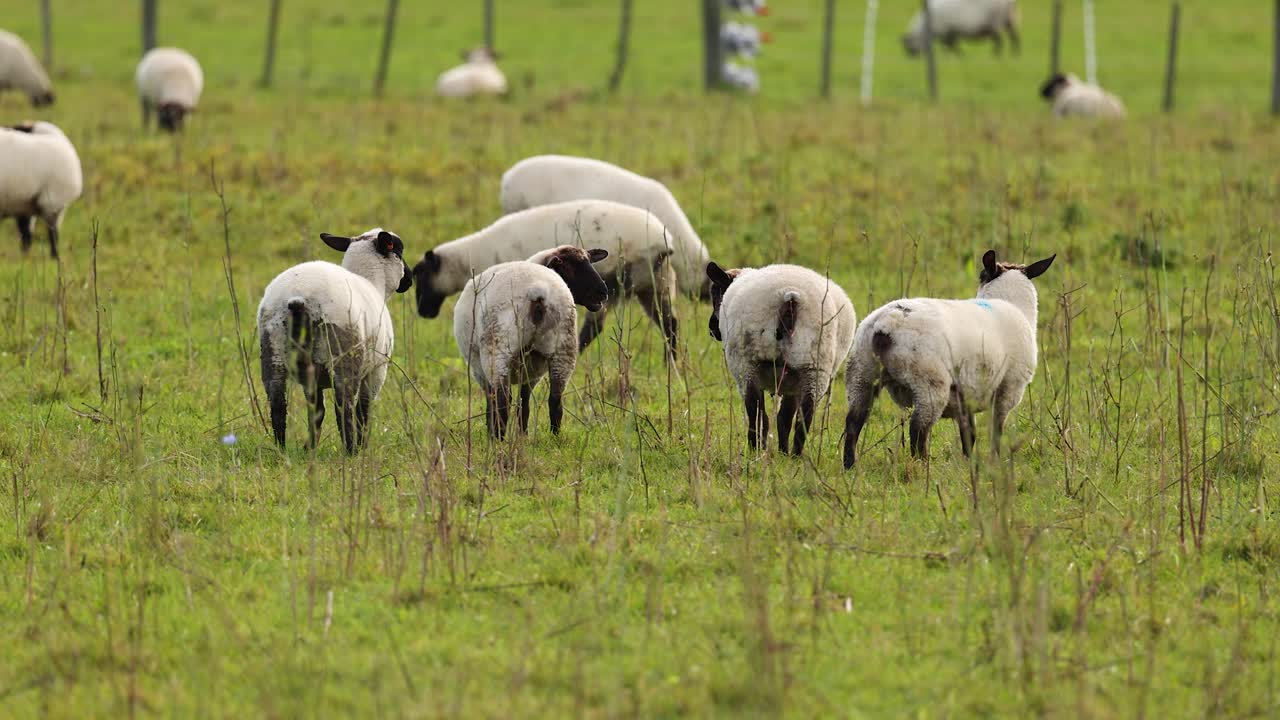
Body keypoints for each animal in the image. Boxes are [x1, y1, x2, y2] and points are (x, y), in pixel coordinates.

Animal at [257, 229, 413, 454]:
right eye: (399, 251)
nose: (410, 279)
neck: (373, 283)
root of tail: (298, 299)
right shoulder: (376, 371)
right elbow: (363, 410)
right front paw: (362, 447)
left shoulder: (313, 380)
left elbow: (317, 411)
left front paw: (309, 448)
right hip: (344, 357)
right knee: (344, 408)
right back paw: (351, 451)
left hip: (273, 353)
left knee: (278, 406)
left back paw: (282, 450)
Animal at [413, 200, 683, 357]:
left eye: (421, 274)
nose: (423, 313)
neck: (474, 255)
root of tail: (663, 243)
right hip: (651, 284)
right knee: (669, 324)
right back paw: (671, 366)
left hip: (624, 283)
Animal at [454, 245, 610, 438]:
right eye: (567, 267)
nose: (603, 292)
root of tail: (538, 290)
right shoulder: (532, 370)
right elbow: (524, 403)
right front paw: (523, 435)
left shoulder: (478, 367)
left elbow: (493, 402)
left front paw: (495, 433)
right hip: (564, 349)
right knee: (555, 401)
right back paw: (554, 439)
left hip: (497, 349)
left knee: (502, 401)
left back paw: (498, 439)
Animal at [706, 262, 857, 456]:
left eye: (716, 293)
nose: (711, 328)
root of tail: (790, 297)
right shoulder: (791, 384)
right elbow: (784, 419)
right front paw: (783, 452)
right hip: (815, 365)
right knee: (803, 417)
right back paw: (794, 456)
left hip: (746, 361)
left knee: (757, 415)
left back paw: (755, 451)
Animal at [841, 250, 1055, 469]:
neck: (1013, 304)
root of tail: (886, 325)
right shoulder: (1008, 388)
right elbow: (996, 431)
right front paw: (995, 462)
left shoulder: (966, 396)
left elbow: (969, 434)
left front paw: (969, 462)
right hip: (929, 383)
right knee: (918, 430)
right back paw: (921, 466)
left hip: (861, 371)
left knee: (854, 421)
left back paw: (850, 465)